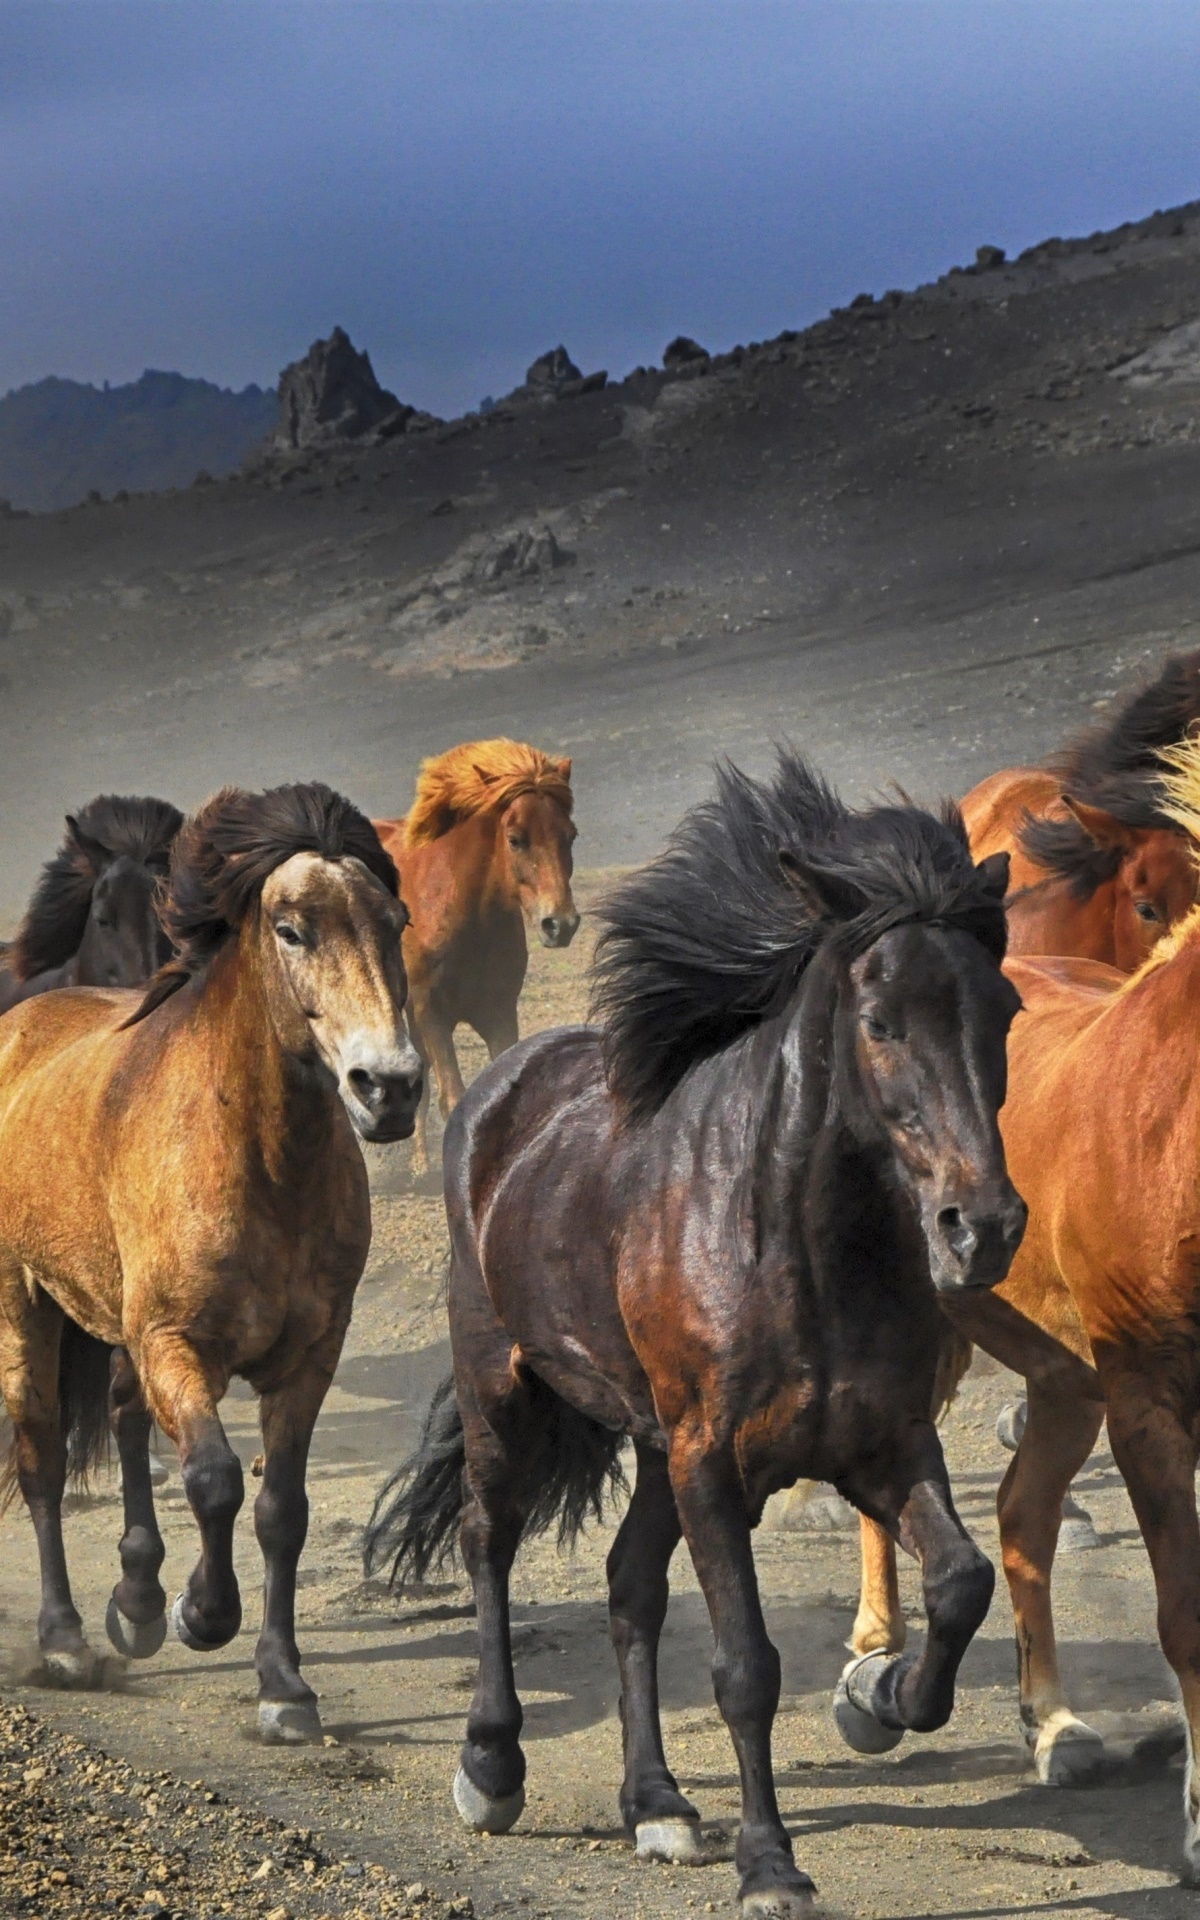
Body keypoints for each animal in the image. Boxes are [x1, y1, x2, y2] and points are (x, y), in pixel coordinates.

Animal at [373, 737, 578, 1173]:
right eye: (515, 838)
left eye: (570, 835)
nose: (561, 923)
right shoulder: (432, 1016)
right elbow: (452, 1095)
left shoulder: (499, 1013)